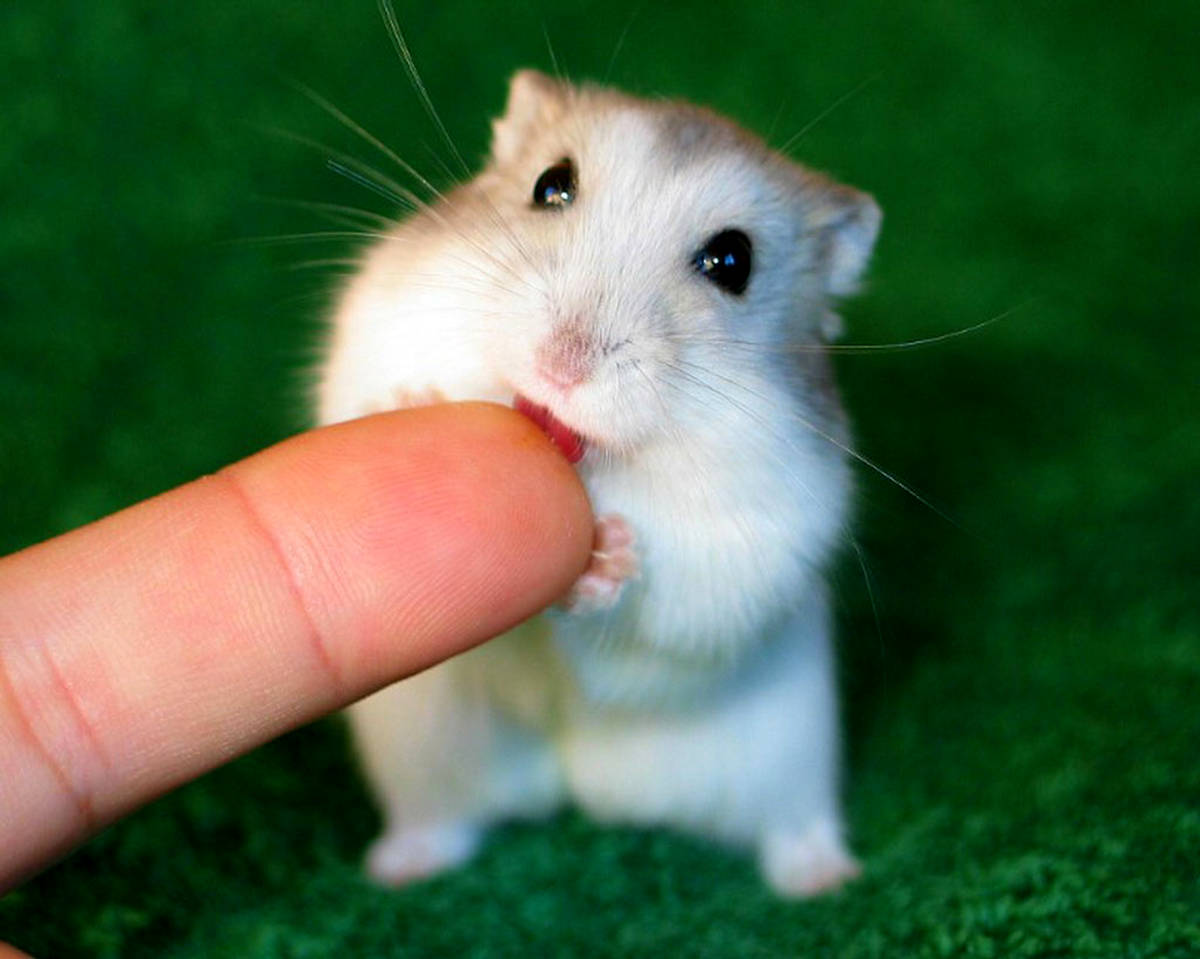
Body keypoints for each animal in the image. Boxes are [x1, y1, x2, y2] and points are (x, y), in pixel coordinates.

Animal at [316, 69, 880, 898]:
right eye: (551, 184)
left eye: (733, 261)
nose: (561, 365)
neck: (596, 462)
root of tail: (580, 786)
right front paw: (411, 404)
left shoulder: (762, 538)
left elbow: (669, 602)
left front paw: (607, 555)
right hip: (424, 748)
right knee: (445, 818)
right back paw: (395, 868)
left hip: (788, 757)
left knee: (790, 826)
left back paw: (827, 878)